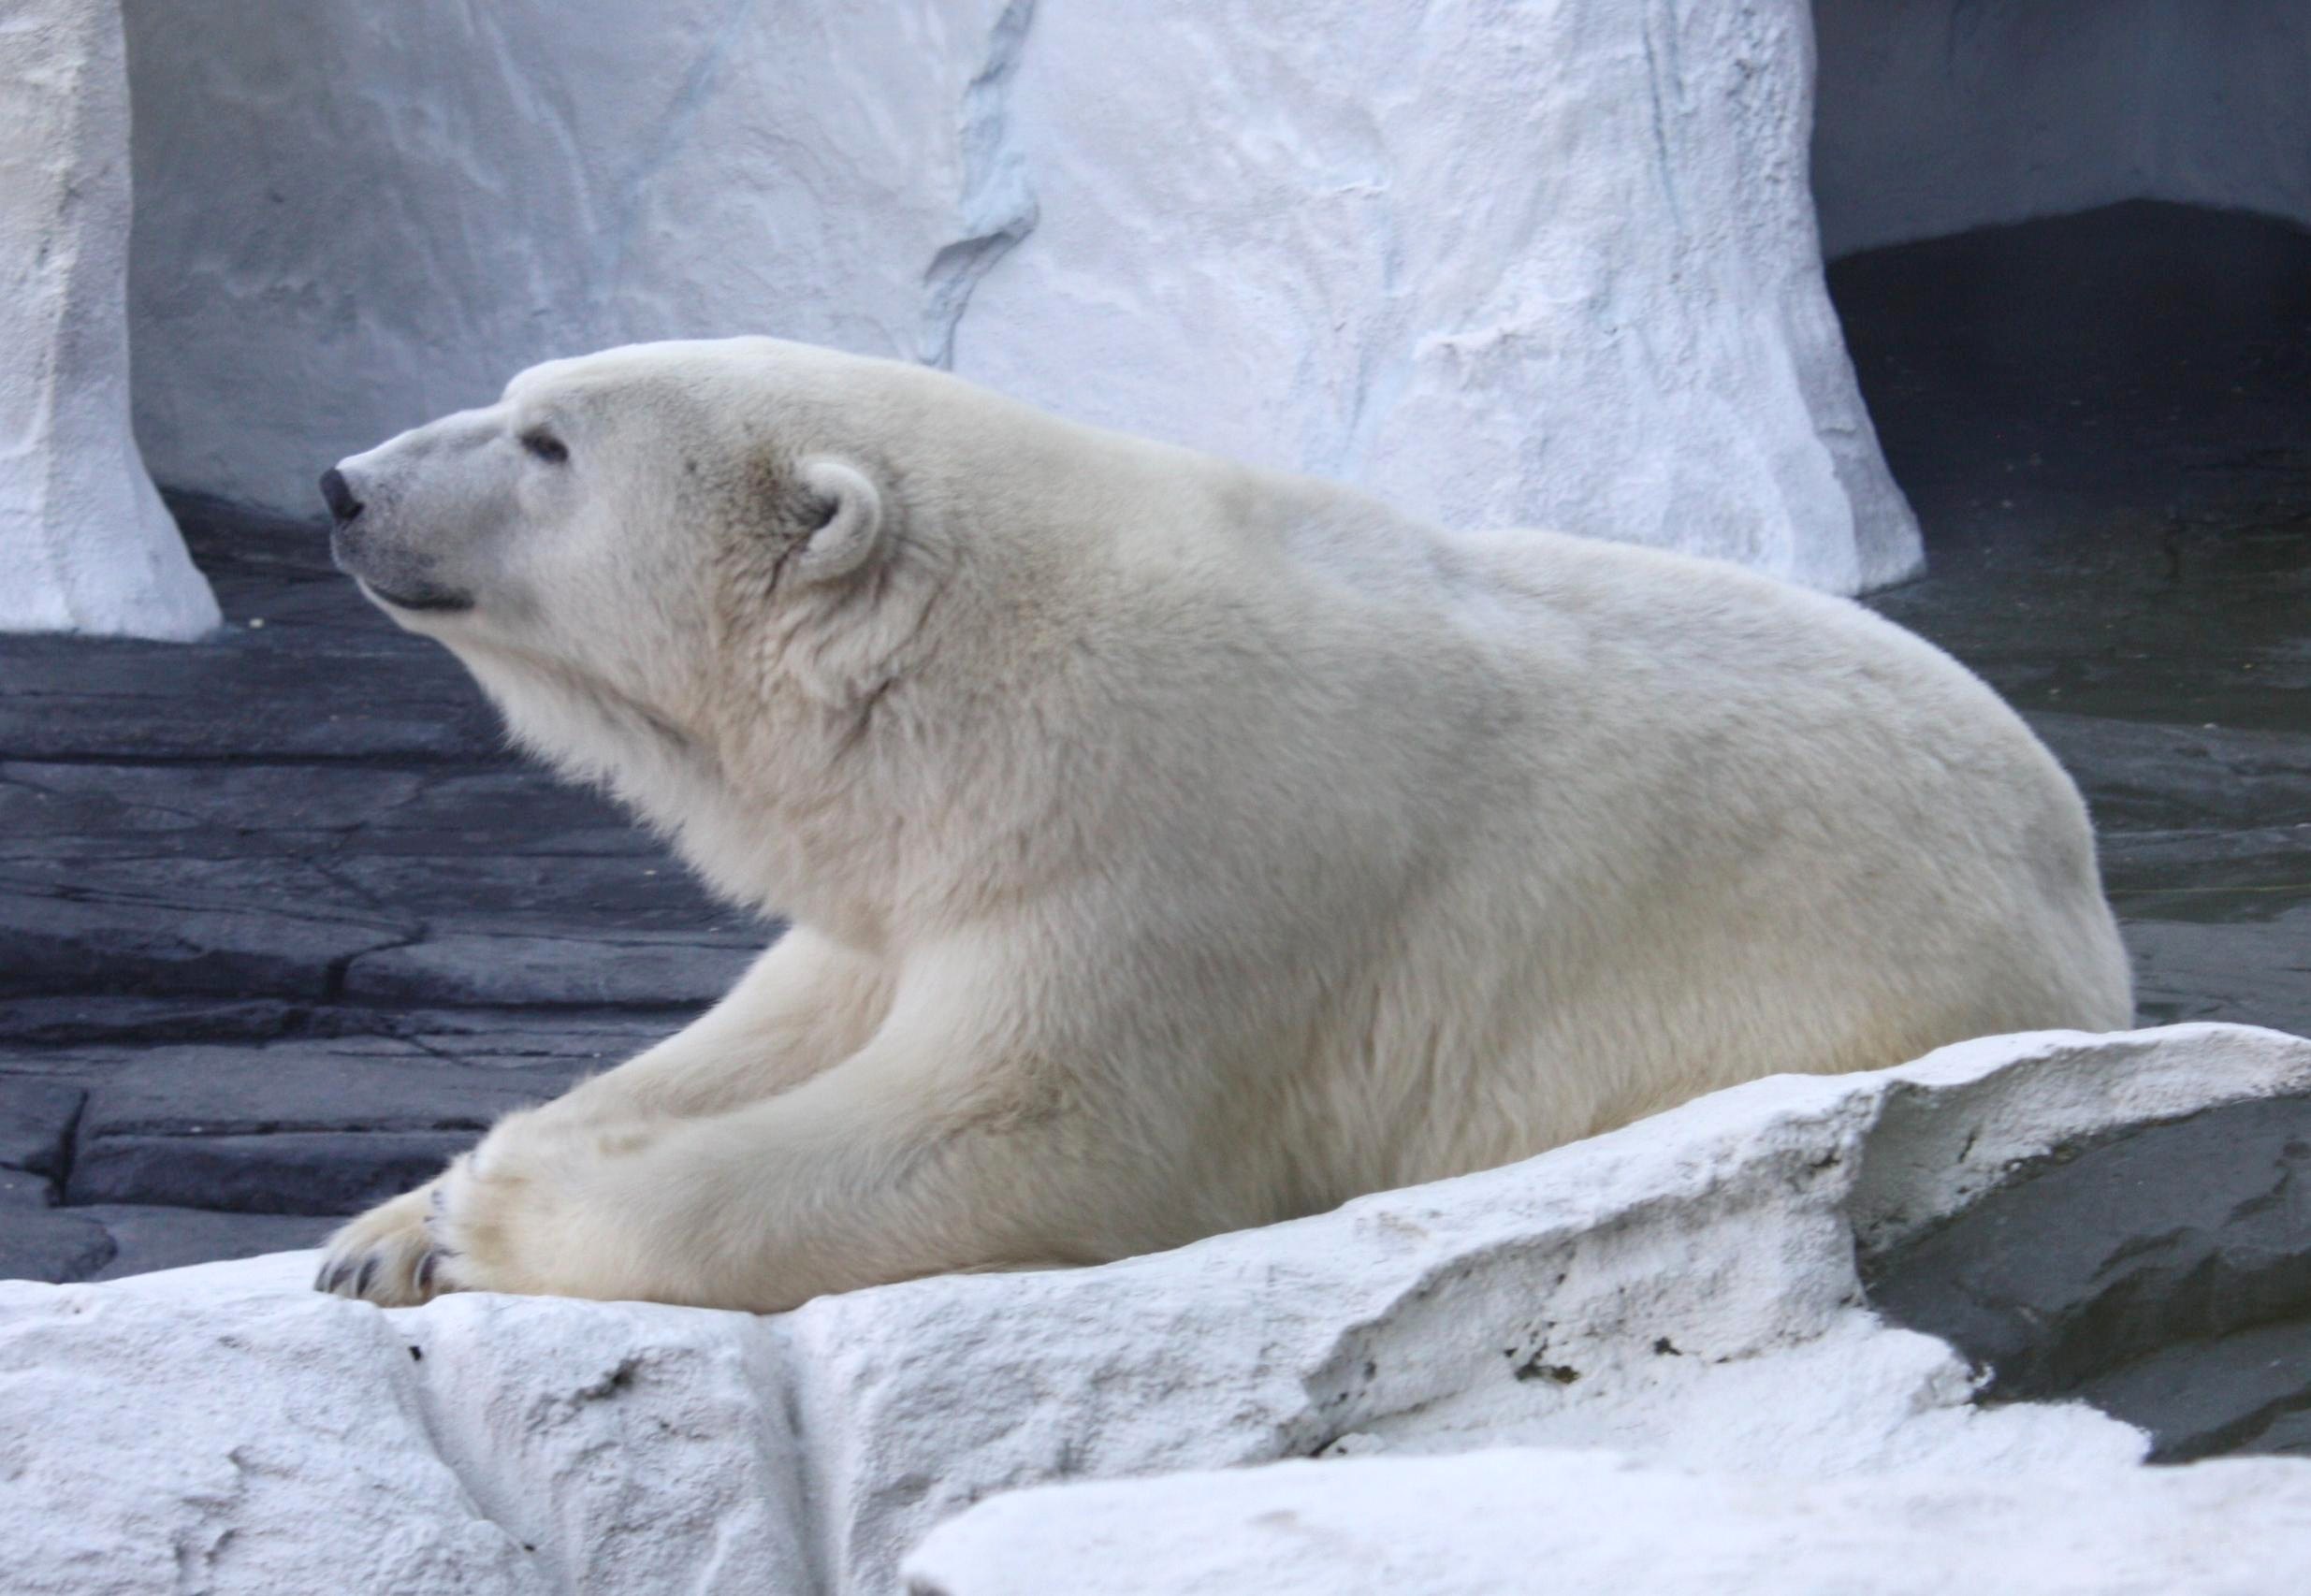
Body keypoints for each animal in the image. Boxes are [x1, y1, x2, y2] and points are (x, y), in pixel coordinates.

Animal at [314, 336, 2132, 1312]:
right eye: (522, 399)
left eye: (547, 440)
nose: (342, 482)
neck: (976, 679)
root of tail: (2086, 890)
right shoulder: (926, 868)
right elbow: (785, 1018)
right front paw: (382, 1230)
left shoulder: (1171, 851)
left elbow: (1017, 1132)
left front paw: (504, 1206)